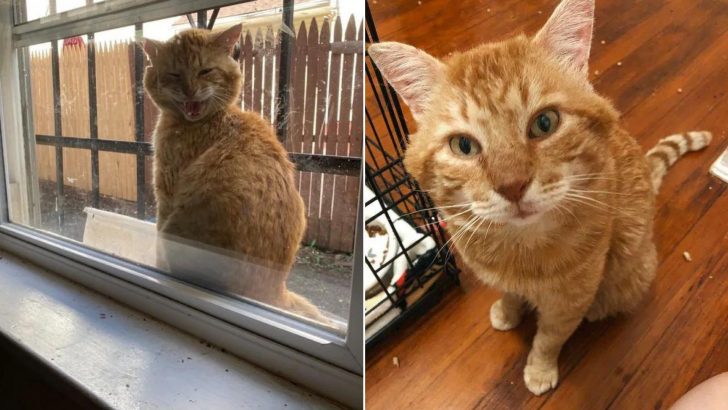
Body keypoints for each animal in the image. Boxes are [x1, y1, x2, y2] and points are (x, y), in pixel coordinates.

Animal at [142, 24, 324, 322]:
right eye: (174, 74)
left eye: (205, 71)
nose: (190, 91)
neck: (209, 120)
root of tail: (276, 292)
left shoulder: (166, 194)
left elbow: (157, 247)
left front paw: (157, 269)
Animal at [370, 0, 712, 396]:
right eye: (463, 146)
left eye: (545, 123)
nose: (512, 186)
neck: (520, 251)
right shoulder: (501, 278)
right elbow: (508, 295)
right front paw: (507, 312)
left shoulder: (570, 300)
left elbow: (550, 337)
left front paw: (539, 368)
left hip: (631, 276)